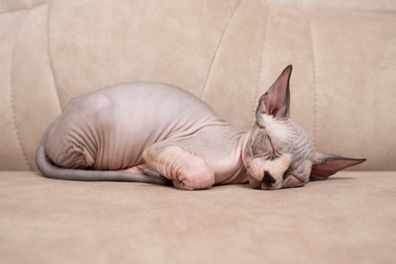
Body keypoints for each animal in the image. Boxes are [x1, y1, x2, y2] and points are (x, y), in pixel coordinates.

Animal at [35, 65, 366, 190]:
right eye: (271, 145)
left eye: (294, 177)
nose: (271, 178)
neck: (236, 169)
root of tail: (53, 122)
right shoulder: (158, 147)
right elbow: (202, 172)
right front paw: (176, 179)